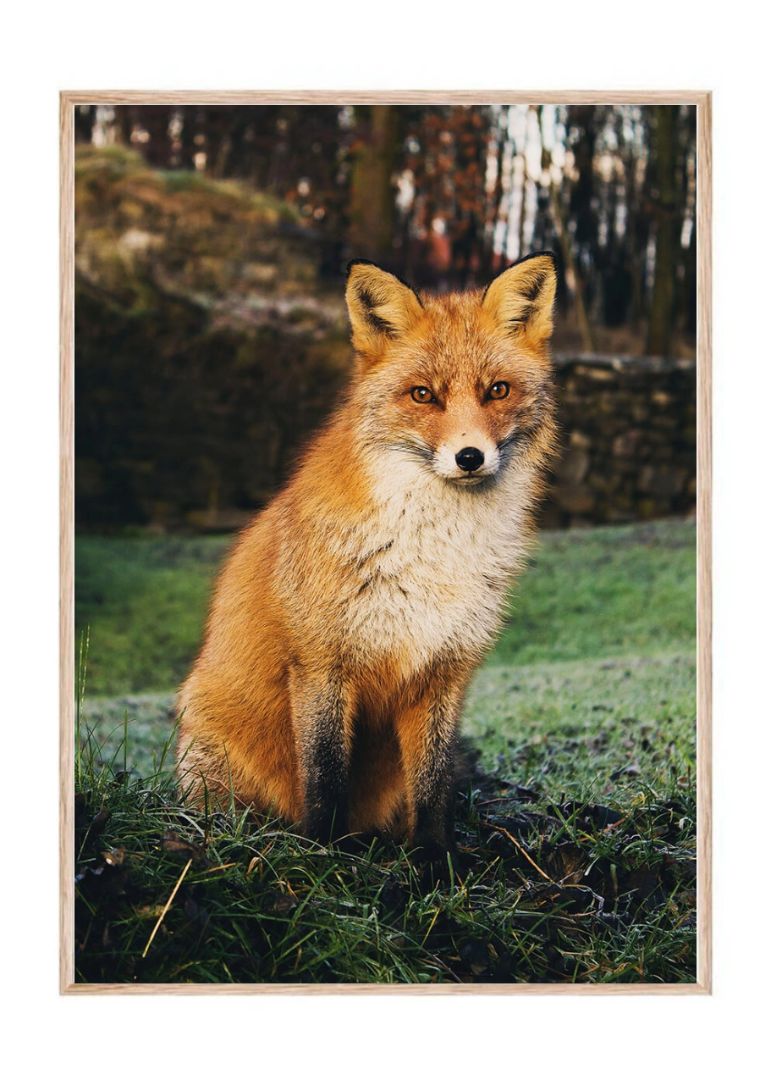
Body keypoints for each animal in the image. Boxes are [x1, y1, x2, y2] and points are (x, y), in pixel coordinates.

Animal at [176, 252, 557, 859]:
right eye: (423, 395)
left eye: (497, 390)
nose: (469, 457)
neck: (433, 553)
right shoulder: (321, 664)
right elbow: (326, 775)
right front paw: (325, 855)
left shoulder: (444, 672)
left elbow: (433, 785)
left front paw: (435, 861)